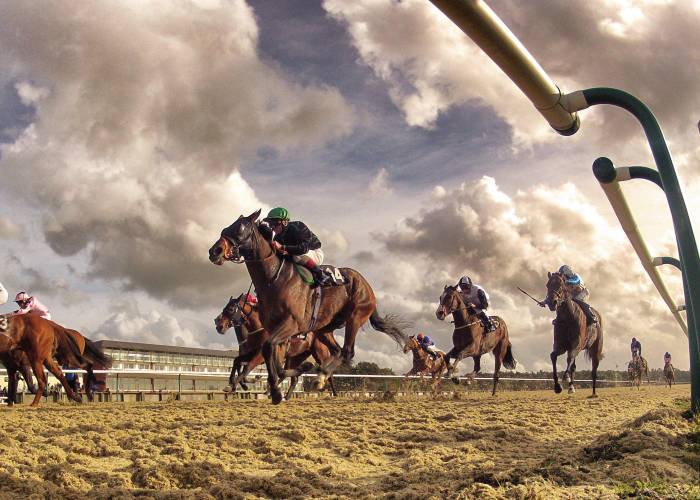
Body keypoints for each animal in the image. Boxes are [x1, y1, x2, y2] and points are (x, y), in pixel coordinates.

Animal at [208, 209, 404, 404]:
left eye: (240, 229)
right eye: (225, 228)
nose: (214, 251)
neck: (274, 278)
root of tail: (367, 285)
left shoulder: (291, 324)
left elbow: (265, 351)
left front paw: (274, 390)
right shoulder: (276, 333)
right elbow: (271, 363)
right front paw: (275, 387)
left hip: (355, 317)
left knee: (347, 351)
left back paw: (321, 377)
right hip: (323, 328)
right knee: (336, 350)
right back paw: (318, 376)